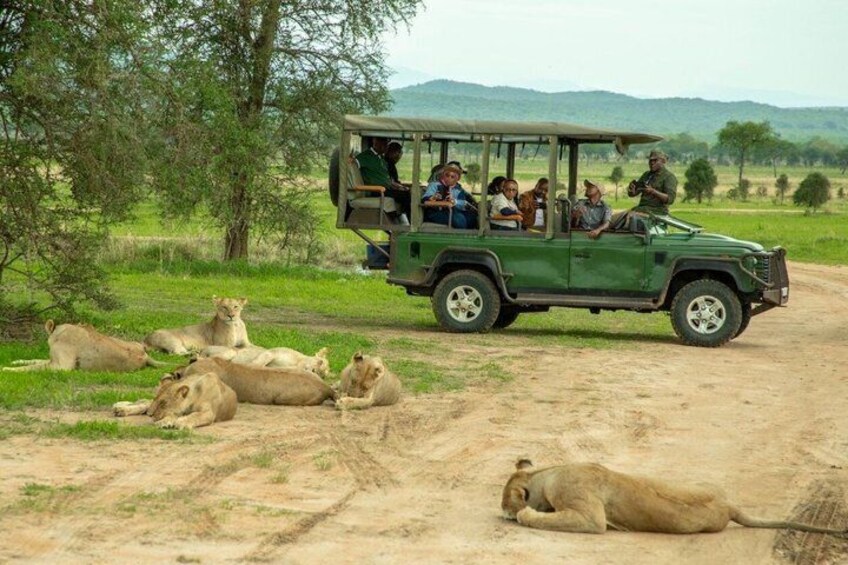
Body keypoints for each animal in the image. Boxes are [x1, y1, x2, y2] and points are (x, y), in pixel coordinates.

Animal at [3, 320, 165, 372]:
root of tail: (145, 355)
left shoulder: (62, 366)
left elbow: (33, 367)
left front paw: (7, 369)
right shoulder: (52, 361)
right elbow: (35, 360)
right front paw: (16, 362)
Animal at [199, 345, 330, 379]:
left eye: (322, 374)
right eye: (320, 362)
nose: (315, 371)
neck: (298, 362)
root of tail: (205, 348)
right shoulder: (271, 353)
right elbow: (259, 362)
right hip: (230, 352)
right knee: (202, 358)